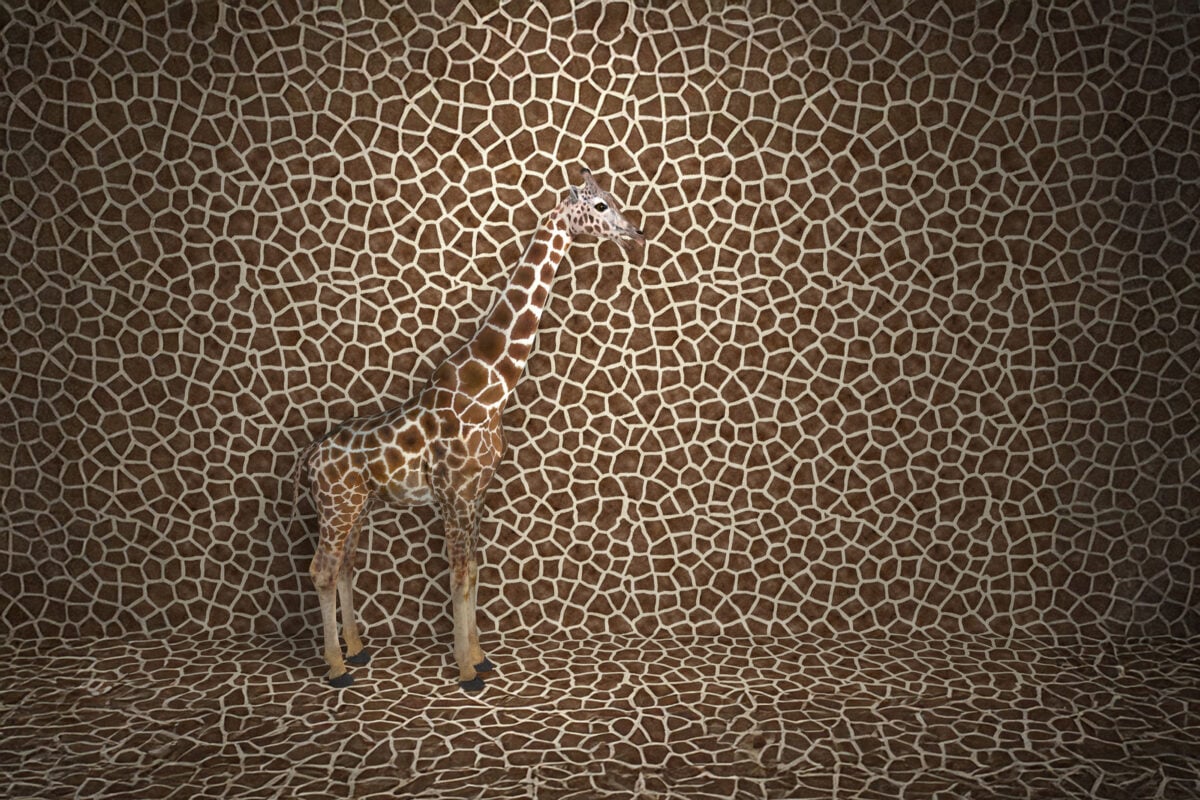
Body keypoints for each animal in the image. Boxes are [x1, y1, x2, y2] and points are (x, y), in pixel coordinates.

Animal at [293, 167, 644, 690]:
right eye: (600, 205)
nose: (635, 232)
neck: (490, 385)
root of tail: (309, 459)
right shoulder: (456, 492)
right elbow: (459, 577)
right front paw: (465, 670)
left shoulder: (477, 491)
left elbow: (474, 572)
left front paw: (479, 657)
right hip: (337, 507)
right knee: (321, 570)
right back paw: (336, 667)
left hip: (356, 507)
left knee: (345, 569)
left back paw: (356, 650)